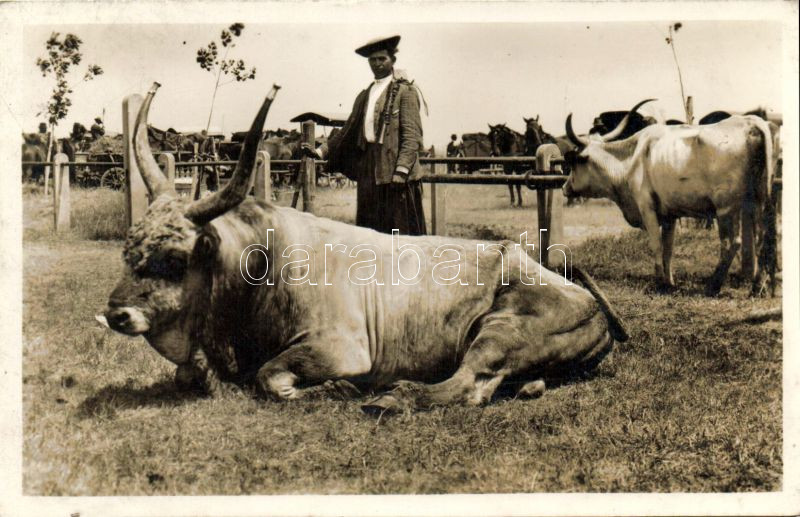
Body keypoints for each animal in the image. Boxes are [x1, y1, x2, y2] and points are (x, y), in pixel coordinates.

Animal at [102, 82, 628, 414]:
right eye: (128, 251)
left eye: (175, 259)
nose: (116, 314)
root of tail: (589, 300)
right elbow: (186, 375)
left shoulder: (340, 348)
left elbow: (270, 377)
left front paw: (331, 390)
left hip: (501, 330)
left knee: (467, 385)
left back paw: (392, 397)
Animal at [562, 100, 777, 297]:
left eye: (574, 163)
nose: (565, 188)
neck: (631, 158)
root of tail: (749, 122)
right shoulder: (669, 216)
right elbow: (668, 249)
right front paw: (670, 281)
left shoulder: (647, 208)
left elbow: (657, 246)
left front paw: (660, 282)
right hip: (756, 202)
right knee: (760, 239)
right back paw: (756, 287)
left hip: (726, 208)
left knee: (731, 243)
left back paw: (713, 286)